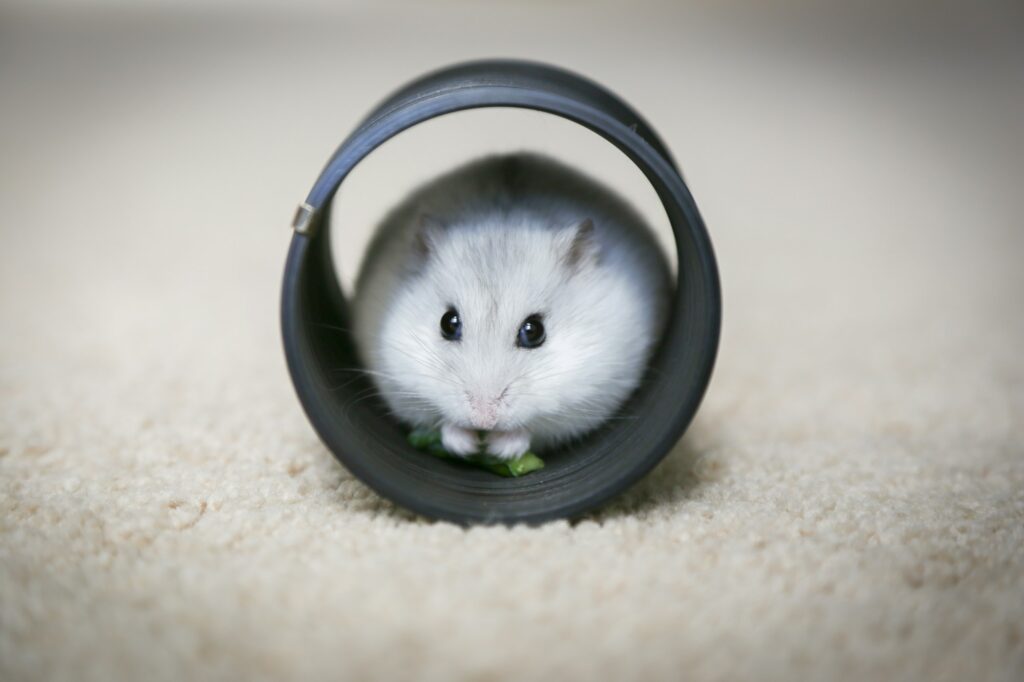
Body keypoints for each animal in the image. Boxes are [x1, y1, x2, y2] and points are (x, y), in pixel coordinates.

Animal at [351, 152, 671, 460]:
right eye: (447, 323)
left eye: (534, 331)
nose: (483, 420)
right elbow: (443, 423)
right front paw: (467, 446)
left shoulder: (590, 395)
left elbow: (533, 429)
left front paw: (499, 449)